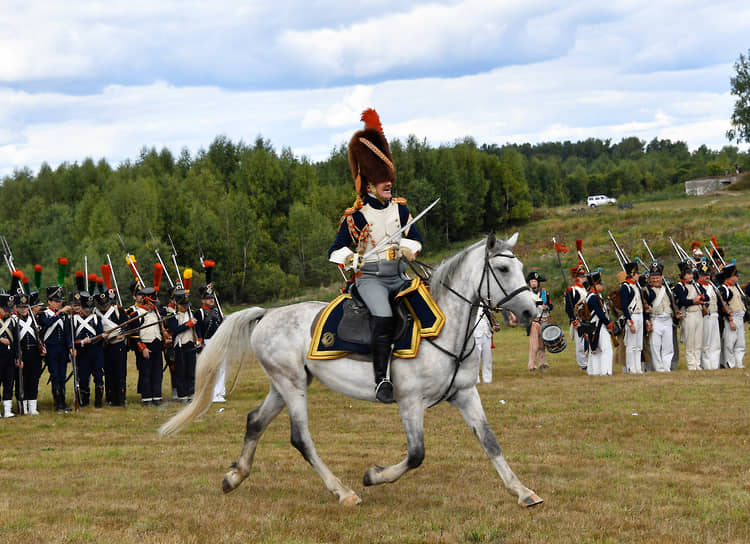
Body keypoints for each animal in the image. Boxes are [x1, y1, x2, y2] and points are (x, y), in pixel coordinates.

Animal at [162, 233, 544, 506]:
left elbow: (490, 441)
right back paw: (343, 492)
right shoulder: (410, 402)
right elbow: (416, 454)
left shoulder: (464, 393)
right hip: (292, 386)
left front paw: (523, 492)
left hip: (285, 384)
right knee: (301, 438)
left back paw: (234, 477)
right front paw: (373, 476)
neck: (445, 325)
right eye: (503, 270)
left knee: (255, 420)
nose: (531, 312)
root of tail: (267, 314)